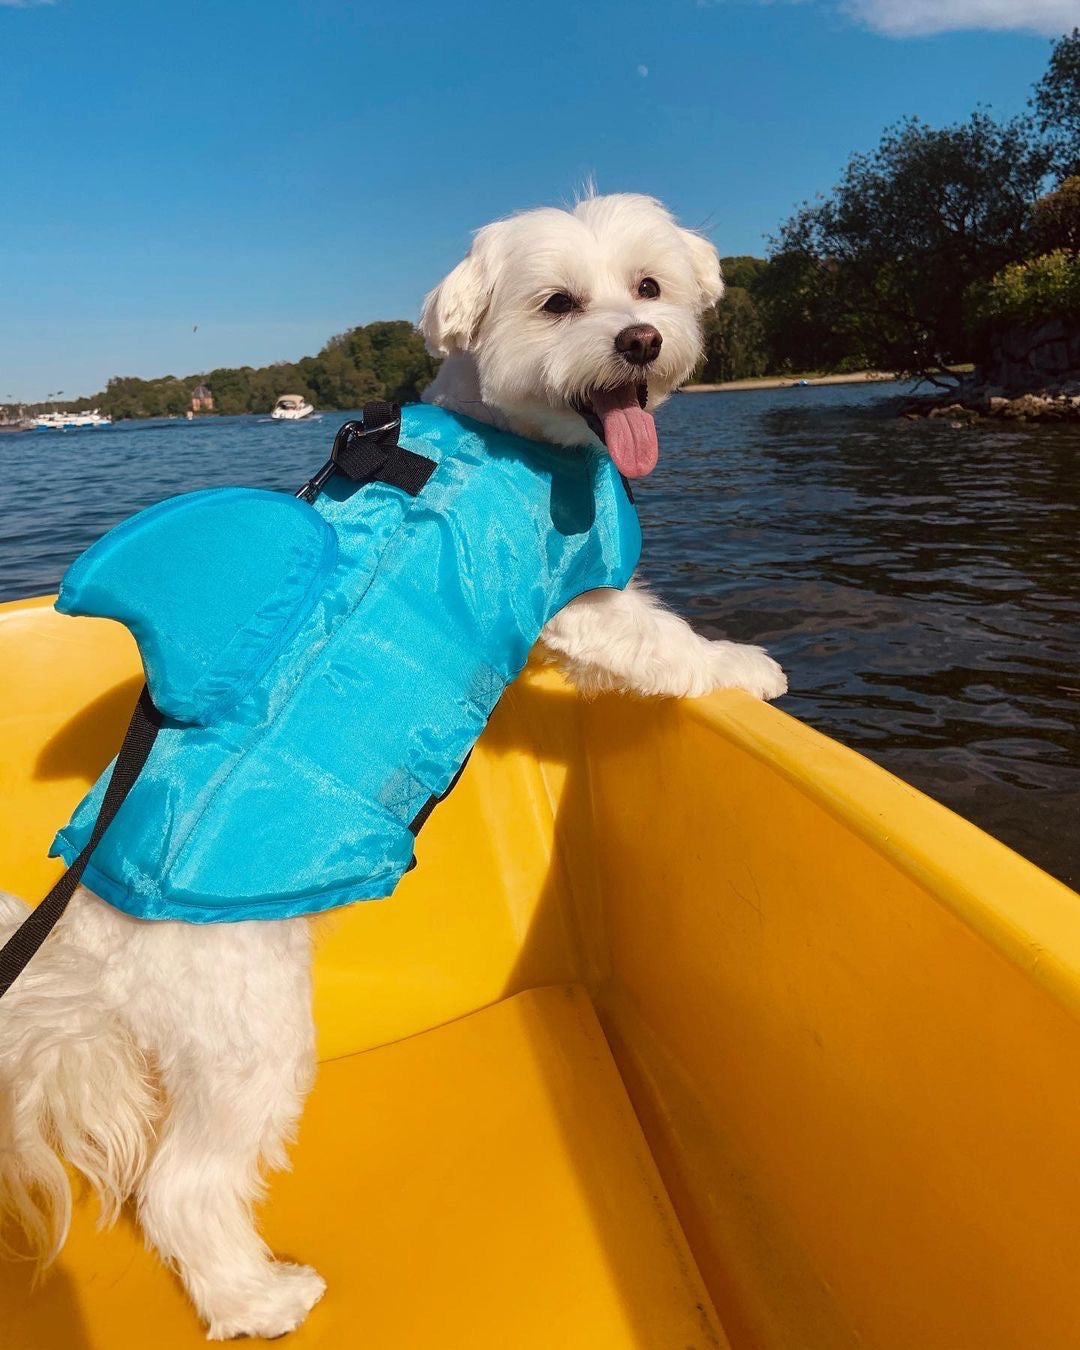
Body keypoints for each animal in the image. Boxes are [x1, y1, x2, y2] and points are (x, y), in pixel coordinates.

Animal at [0, 193, 783, 1339]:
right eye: (559, 303)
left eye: (648, 288)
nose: (641, 342)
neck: (512, 437)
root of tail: (97, 928)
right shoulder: (582, 604)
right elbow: (659, 645)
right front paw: (743, 667)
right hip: (249, 1034)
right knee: (183, 1187)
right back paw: (256, 1298)